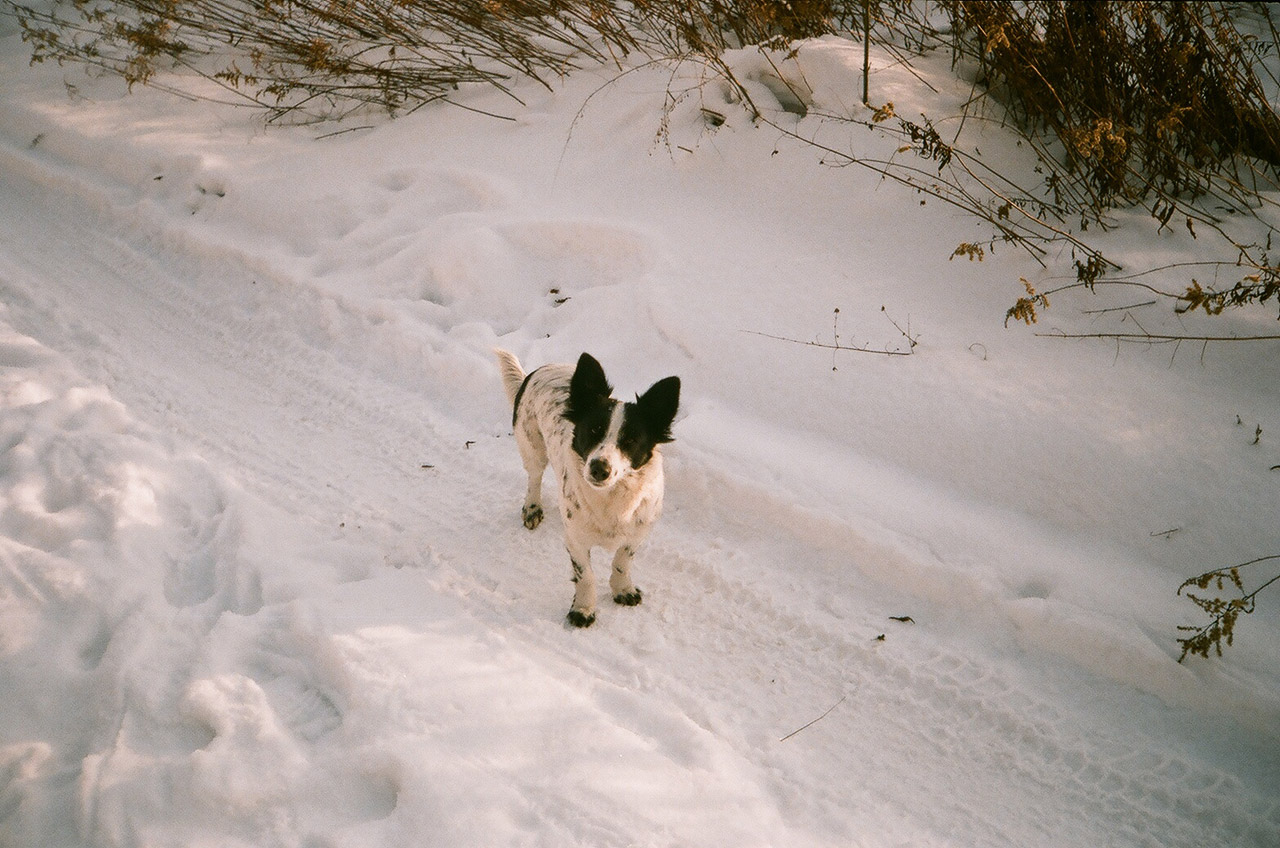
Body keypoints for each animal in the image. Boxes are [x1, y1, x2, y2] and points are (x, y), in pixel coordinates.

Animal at [496, 348, 680, 627]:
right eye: (593, 430)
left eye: (631, 440)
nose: (599, 469)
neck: (612, 499)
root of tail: (543, 368)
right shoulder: (576, 540)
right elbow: (586, 576)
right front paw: (583, 609)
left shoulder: (637, 533)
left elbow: (622, 562)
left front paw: (622, 589)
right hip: (532, 447)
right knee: (534, 478)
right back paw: (532, 508)